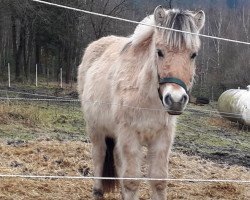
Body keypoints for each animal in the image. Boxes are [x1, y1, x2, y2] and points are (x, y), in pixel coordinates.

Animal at [77, 6, 205, 200]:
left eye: (193, 54)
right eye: (159, 52)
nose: (175, 100)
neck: (146, 97)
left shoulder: (162, 138)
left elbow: (158, 181)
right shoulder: (129, 135)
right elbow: (132, 181)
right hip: (96, 128)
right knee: (99, 154)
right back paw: (98, 191)